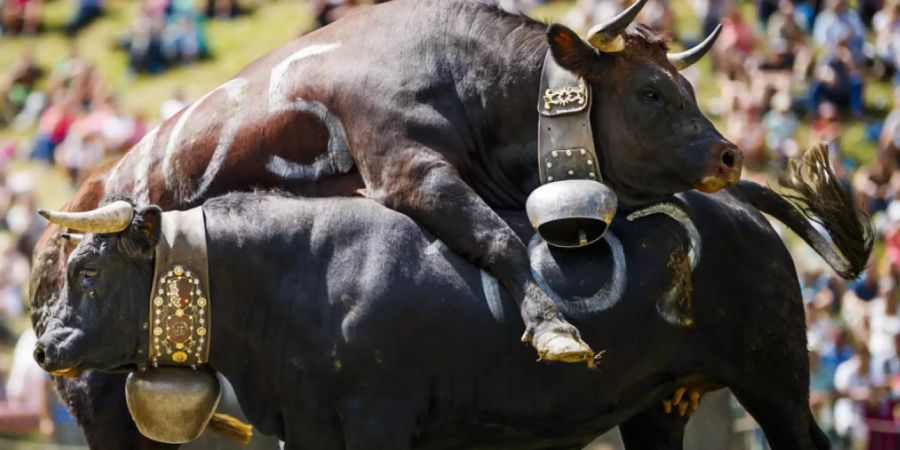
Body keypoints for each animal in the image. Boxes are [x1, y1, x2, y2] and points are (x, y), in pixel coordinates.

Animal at [33, 171, 872, 448]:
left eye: (89, 269)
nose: (44, 347)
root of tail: (730, 199)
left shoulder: (379, 417)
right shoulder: (310, 427)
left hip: (775, 377)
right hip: (661, 405)